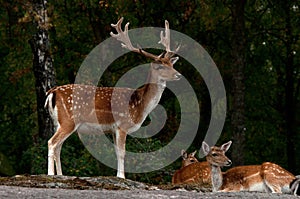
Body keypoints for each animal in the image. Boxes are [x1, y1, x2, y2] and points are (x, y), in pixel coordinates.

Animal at [44, 17, 180, 179]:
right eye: (161, 67)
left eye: (171, 64)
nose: (178, 74)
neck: (140, 105)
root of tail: (52, 92)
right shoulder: (122, 124)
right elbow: (122, 153)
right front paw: (121, 177)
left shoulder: (113, 129)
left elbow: (116, 152)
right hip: (69, 120)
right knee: (52, 142)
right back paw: (50, 174)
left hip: (58, 121)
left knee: (58, 146)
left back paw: (60, 175)